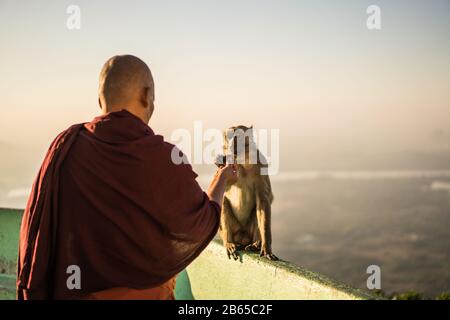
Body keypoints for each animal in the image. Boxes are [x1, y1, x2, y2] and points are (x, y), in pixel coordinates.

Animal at [215, 124, 278, 260]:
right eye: (229, 136)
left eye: (238, 135)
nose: (232, 143)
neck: (242, 162)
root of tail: (242, 238)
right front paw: (220, 159)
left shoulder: (260, 166)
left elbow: (263, 201)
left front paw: (266, 247)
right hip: (235, 229)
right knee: (224, 202)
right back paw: (229, 242)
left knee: (257, 208)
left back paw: (256, 244)